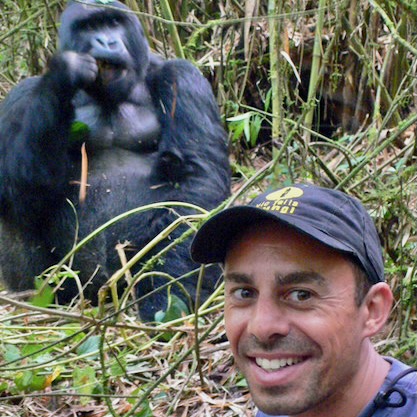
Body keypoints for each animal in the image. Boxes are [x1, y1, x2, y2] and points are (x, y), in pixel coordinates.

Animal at [0, 0, 229, 320]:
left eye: (113, 23)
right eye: (89, 27)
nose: (106, 42)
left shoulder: (183, 76)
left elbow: (196, 180)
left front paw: (167, 296)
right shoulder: (18, 96)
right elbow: (13, 189)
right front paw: (62, 76)